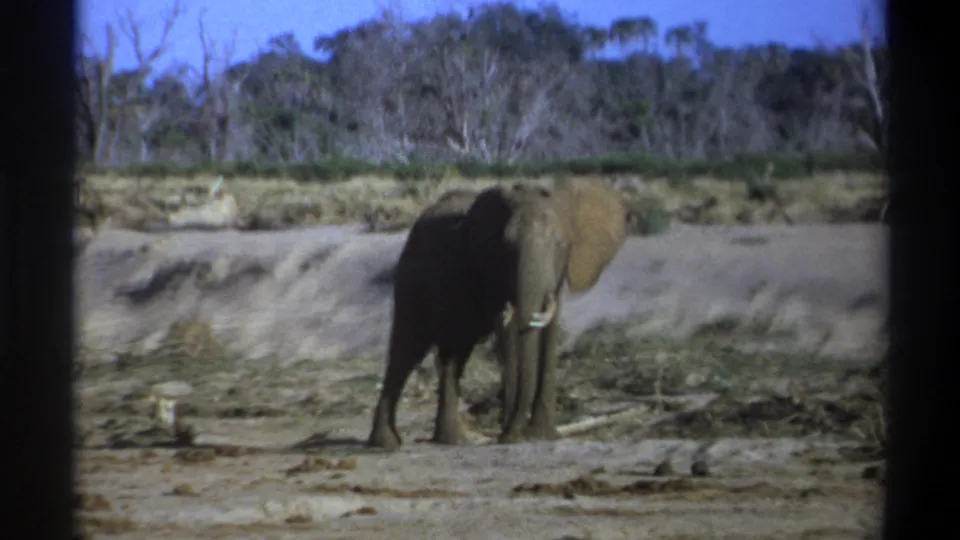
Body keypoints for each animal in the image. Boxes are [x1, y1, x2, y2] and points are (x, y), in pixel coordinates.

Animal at [366, 179, 627, 450]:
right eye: (507, 246)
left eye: (560, 244)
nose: (520, 430)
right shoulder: (491, 272)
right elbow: (509, 335)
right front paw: (513, 437)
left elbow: (549, 333)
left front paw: (544, 435)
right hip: (410, 281)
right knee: (406, 351)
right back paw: (386, 443)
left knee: (453, 355)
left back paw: (452, 441)